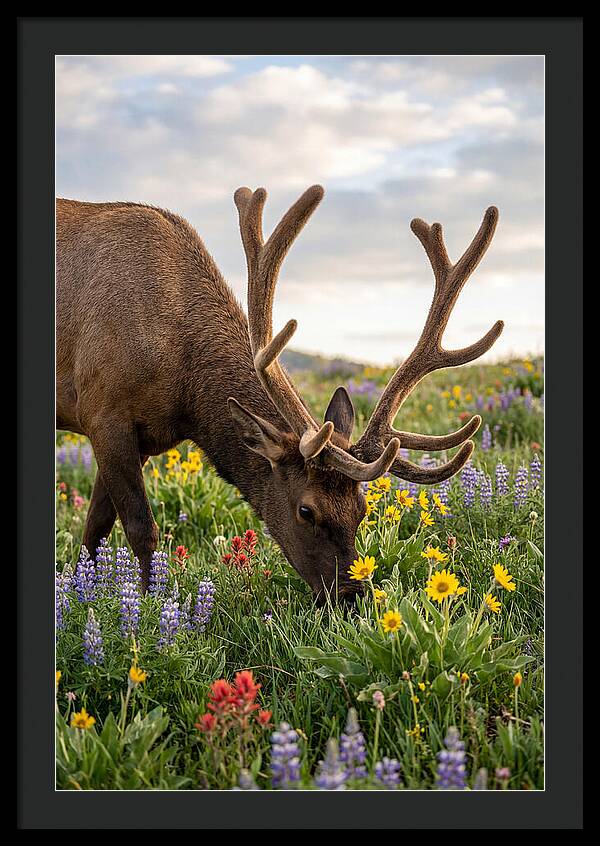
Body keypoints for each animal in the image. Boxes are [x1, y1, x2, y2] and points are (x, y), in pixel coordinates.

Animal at [56, 184, 503, 601]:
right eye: (306, 510)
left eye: (362, 509)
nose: (351, 596)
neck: (185, 393)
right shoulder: (104, 412)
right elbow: (139, 528)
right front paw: (149, 605)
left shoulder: (144, 437)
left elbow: (95, 529)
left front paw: (83, 592)